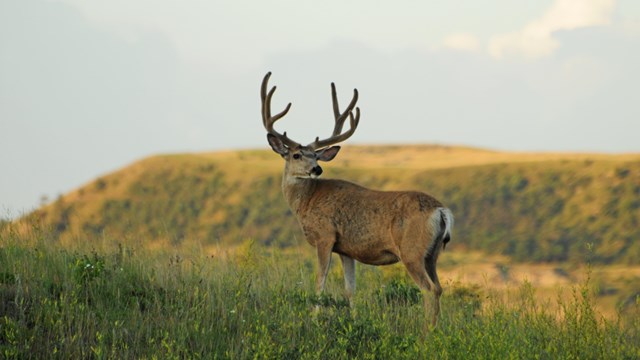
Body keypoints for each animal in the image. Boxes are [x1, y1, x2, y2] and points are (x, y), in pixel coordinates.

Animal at [258, 71, 452, 328]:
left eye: (315, 155)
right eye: (297, 155)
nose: (317, 168)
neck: (306, 202)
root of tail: (441, 211)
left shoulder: (325, 237)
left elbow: (319, 283)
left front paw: (314, 319)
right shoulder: (346, 249)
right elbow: (350, 290)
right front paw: (354, 320)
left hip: (412, 251)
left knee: (429, 290)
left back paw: (426, 331)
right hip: (432, 254)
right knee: (438, 288)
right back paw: (436, 328)